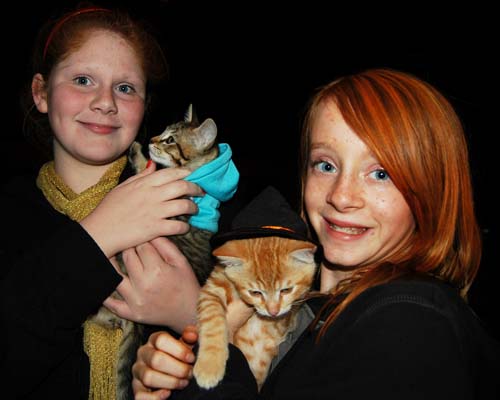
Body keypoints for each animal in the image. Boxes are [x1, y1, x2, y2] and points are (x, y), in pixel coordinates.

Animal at [194, 236, 316, 390]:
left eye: (286, 290)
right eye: (255, 293)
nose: (273, 312)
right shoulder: (213, 288)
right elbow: (212, 319)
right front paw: (209, 365)